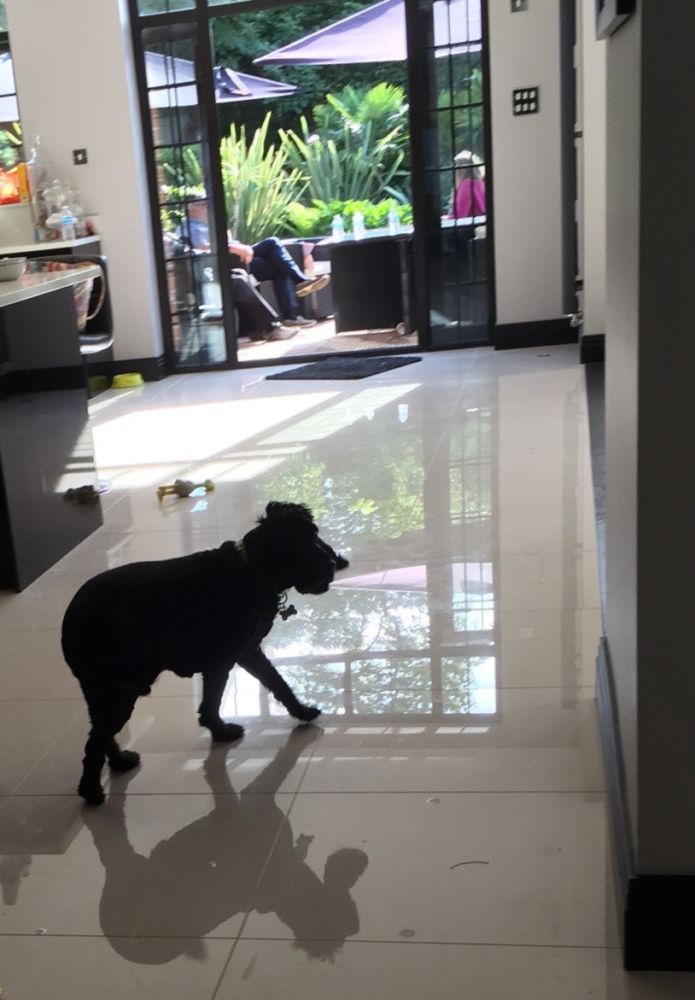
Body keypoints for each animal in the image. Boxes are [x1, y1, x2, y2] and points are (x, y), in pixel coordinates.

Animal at [61, 502, 348, 805]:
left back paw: (119, 762)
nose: (331, 564)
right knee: (95, 741)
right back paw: (91, 791)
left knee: (99, 732)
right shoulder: (221, 661)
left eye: (314, 534)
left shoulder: (248, 651)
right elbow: (212, 703)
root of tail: (70, 620)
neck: (251, 571)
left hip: (100, 688)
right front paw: (222, 732)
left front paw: (302, 711)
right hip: (122, 688)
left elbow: (277, 682)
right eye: (300, 545)